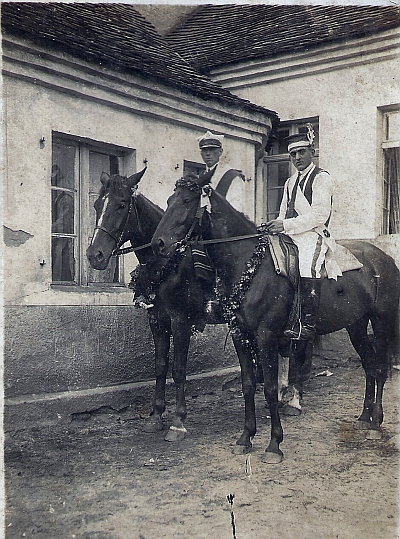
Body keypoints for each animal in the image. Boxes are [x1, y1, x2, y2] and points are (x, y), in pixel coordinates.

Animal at [86, 172, 222, 442]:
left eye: (122, 204)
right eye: (97, 205)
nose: (95, 255)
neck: (169, 264)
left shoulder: (181, 322)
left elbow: (178, 370)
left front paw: (178, 422)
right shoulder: (157, 321)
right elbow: (160, 366)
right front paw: (156, 416)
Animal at [152, 174, 398, 464]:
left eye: (187, 201)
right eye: (170, 199)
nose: (158, 244)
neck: (250, 265)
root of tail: (383, 257)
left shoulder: (266, 336)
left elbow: (269, 388)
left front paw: (274, 444)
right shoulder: (240, 335)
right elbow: (248, 385)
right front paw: (245, 438)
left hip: (381, 322)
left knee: (380, 368)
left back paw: (375, 423)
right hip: (356, 326)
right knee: (369, 365)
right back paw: (363, 417)